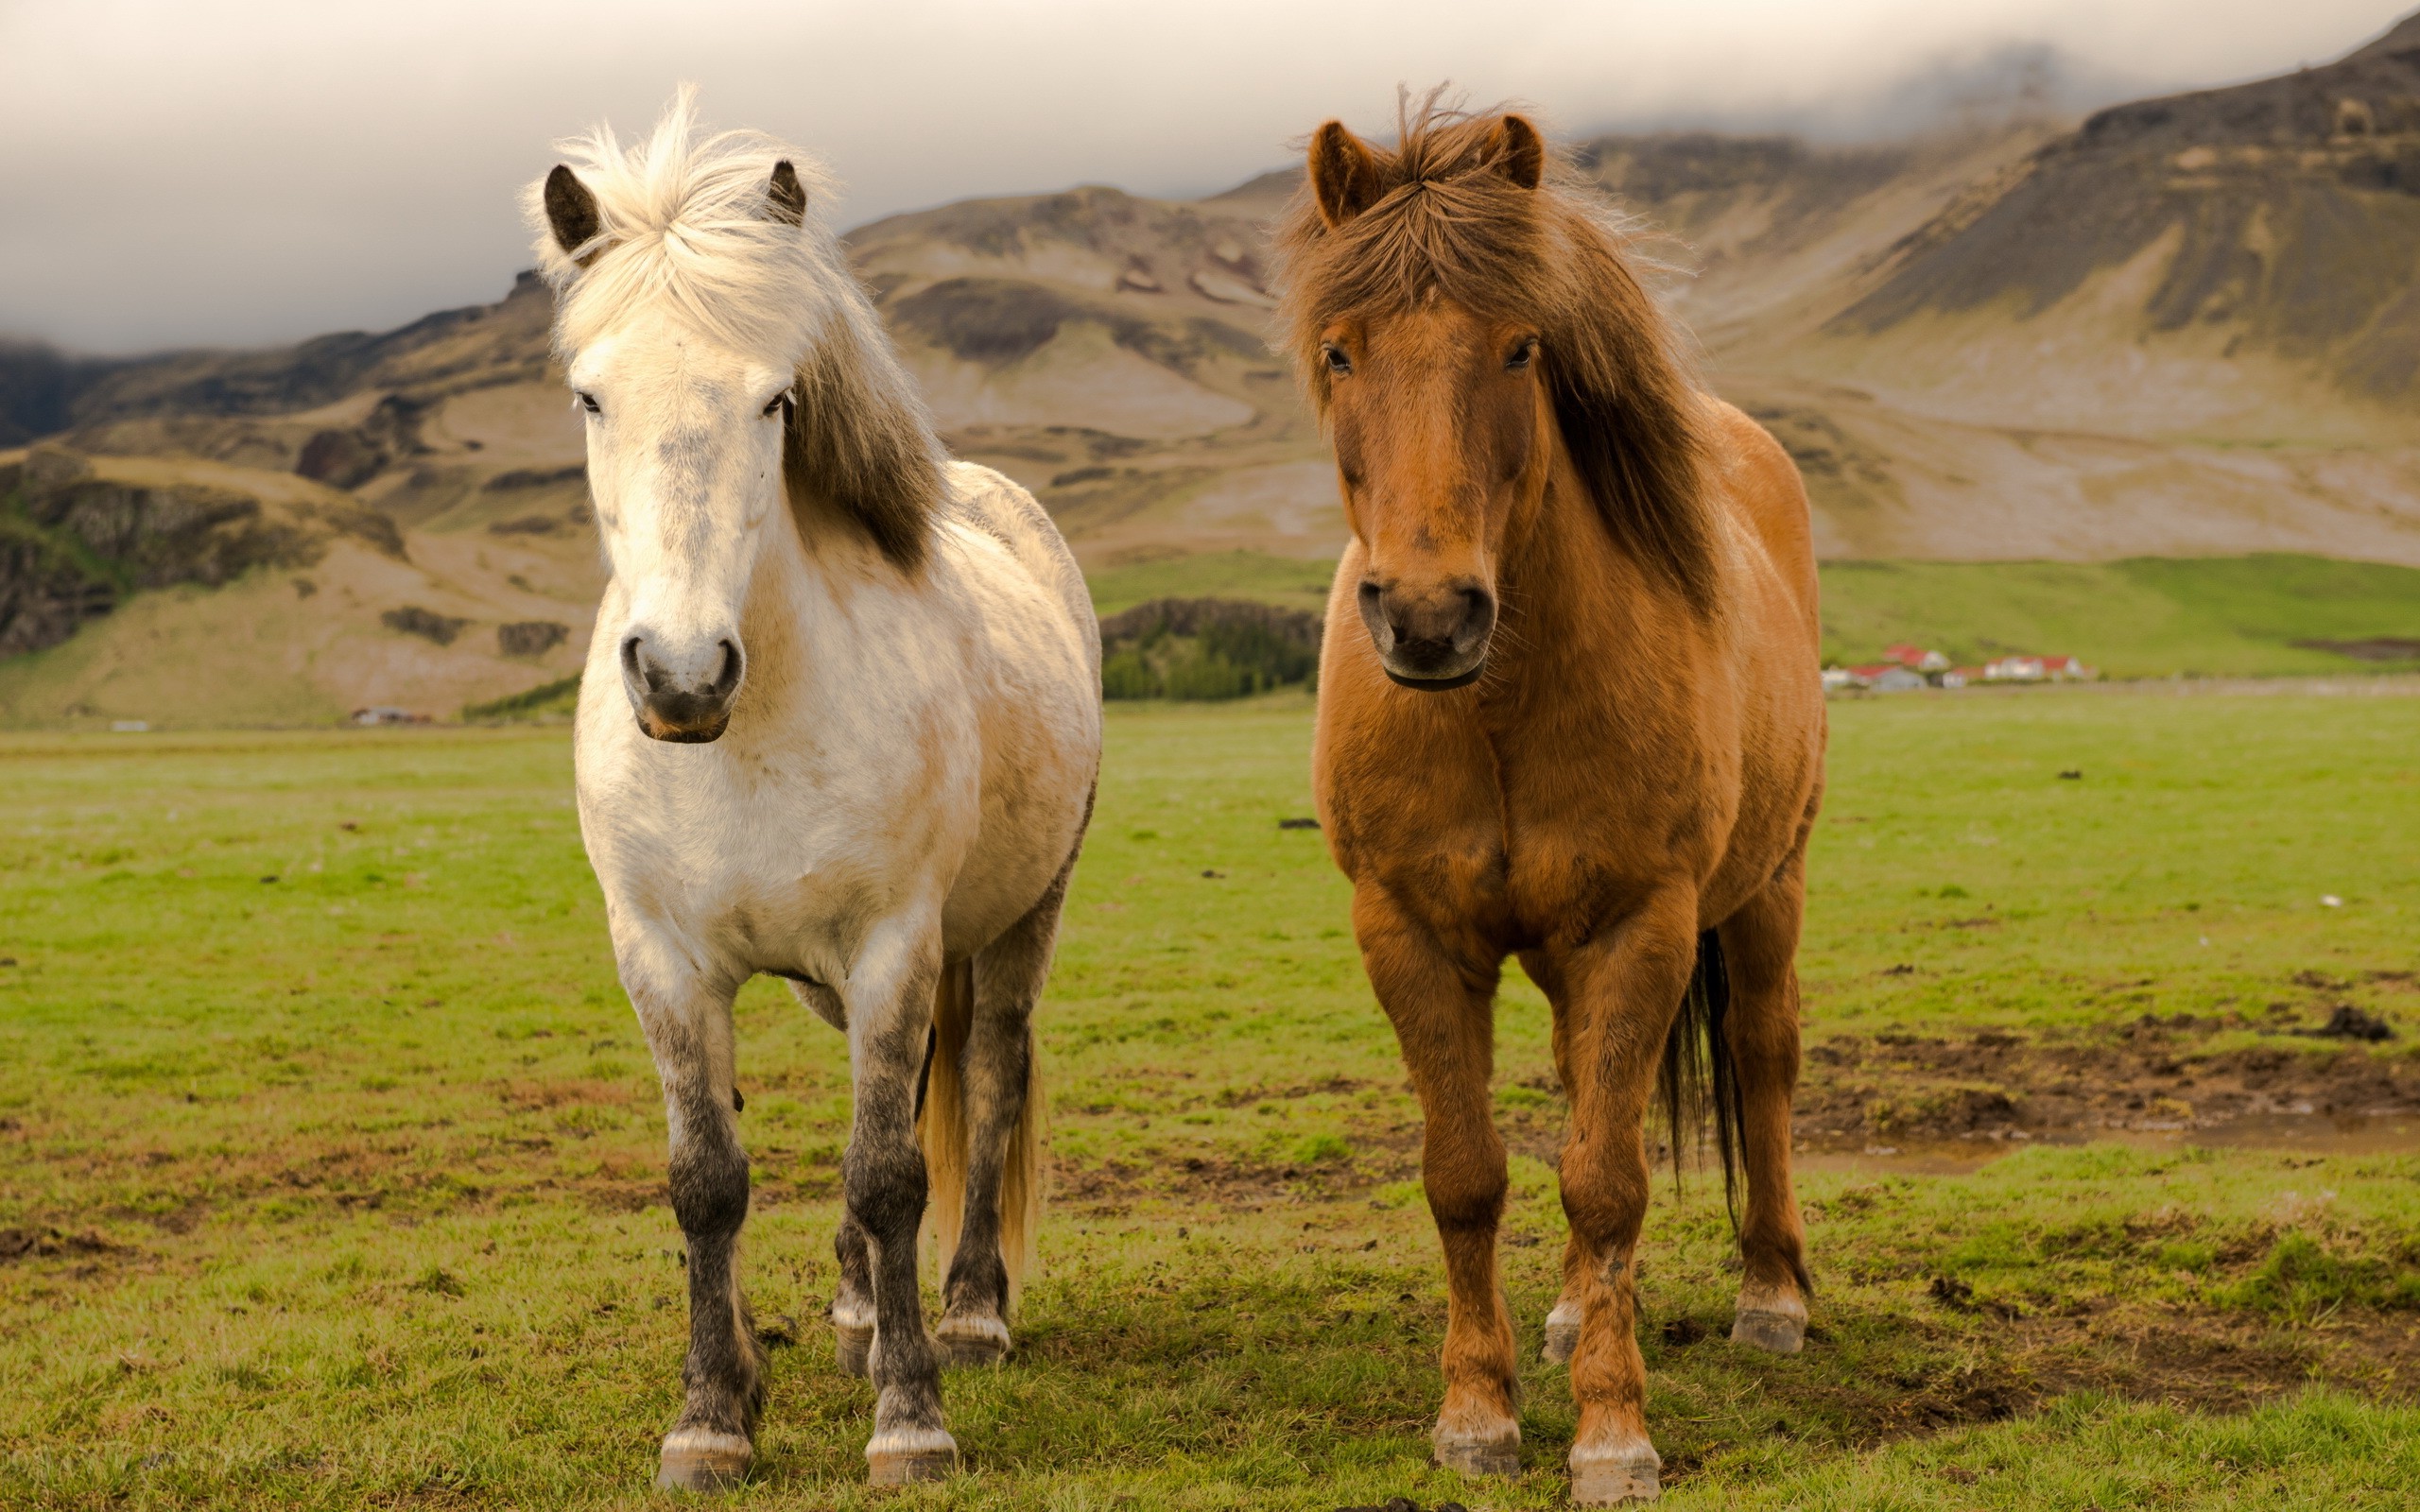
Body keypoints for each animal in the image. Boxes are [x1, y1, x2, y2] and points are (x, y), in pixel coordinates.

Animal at [532, 94, 1108, 1489]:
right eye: (589, 396)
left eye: (776, 401)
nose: (682, 672)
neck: (740, 745)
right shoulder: (662, 960)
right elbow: (708, 1177)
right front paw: (713, 1411)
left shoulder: (898, 941)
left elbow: (893, 1170)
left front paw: (909, 1417)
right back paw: (852, 1310)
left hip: (1019, 918)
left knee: (989, 1076)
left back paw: (968, 1311)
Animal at [1287, 100, 1820, 1500]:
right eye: (1340, 350)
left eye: (1521, 346)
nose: (1429, 616)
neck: (1496, 711)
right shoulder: (1410, 932)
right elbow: (1468, 1175)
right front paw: (1477, 1414)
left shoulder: (1644, 921)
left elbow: (1610, 1180)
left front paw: (1612, 1435)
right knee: (1587, 1079)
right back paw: (1583, 1309)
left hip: (1766, 888)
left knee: (1761, 1059)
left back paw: (1772, 1296)